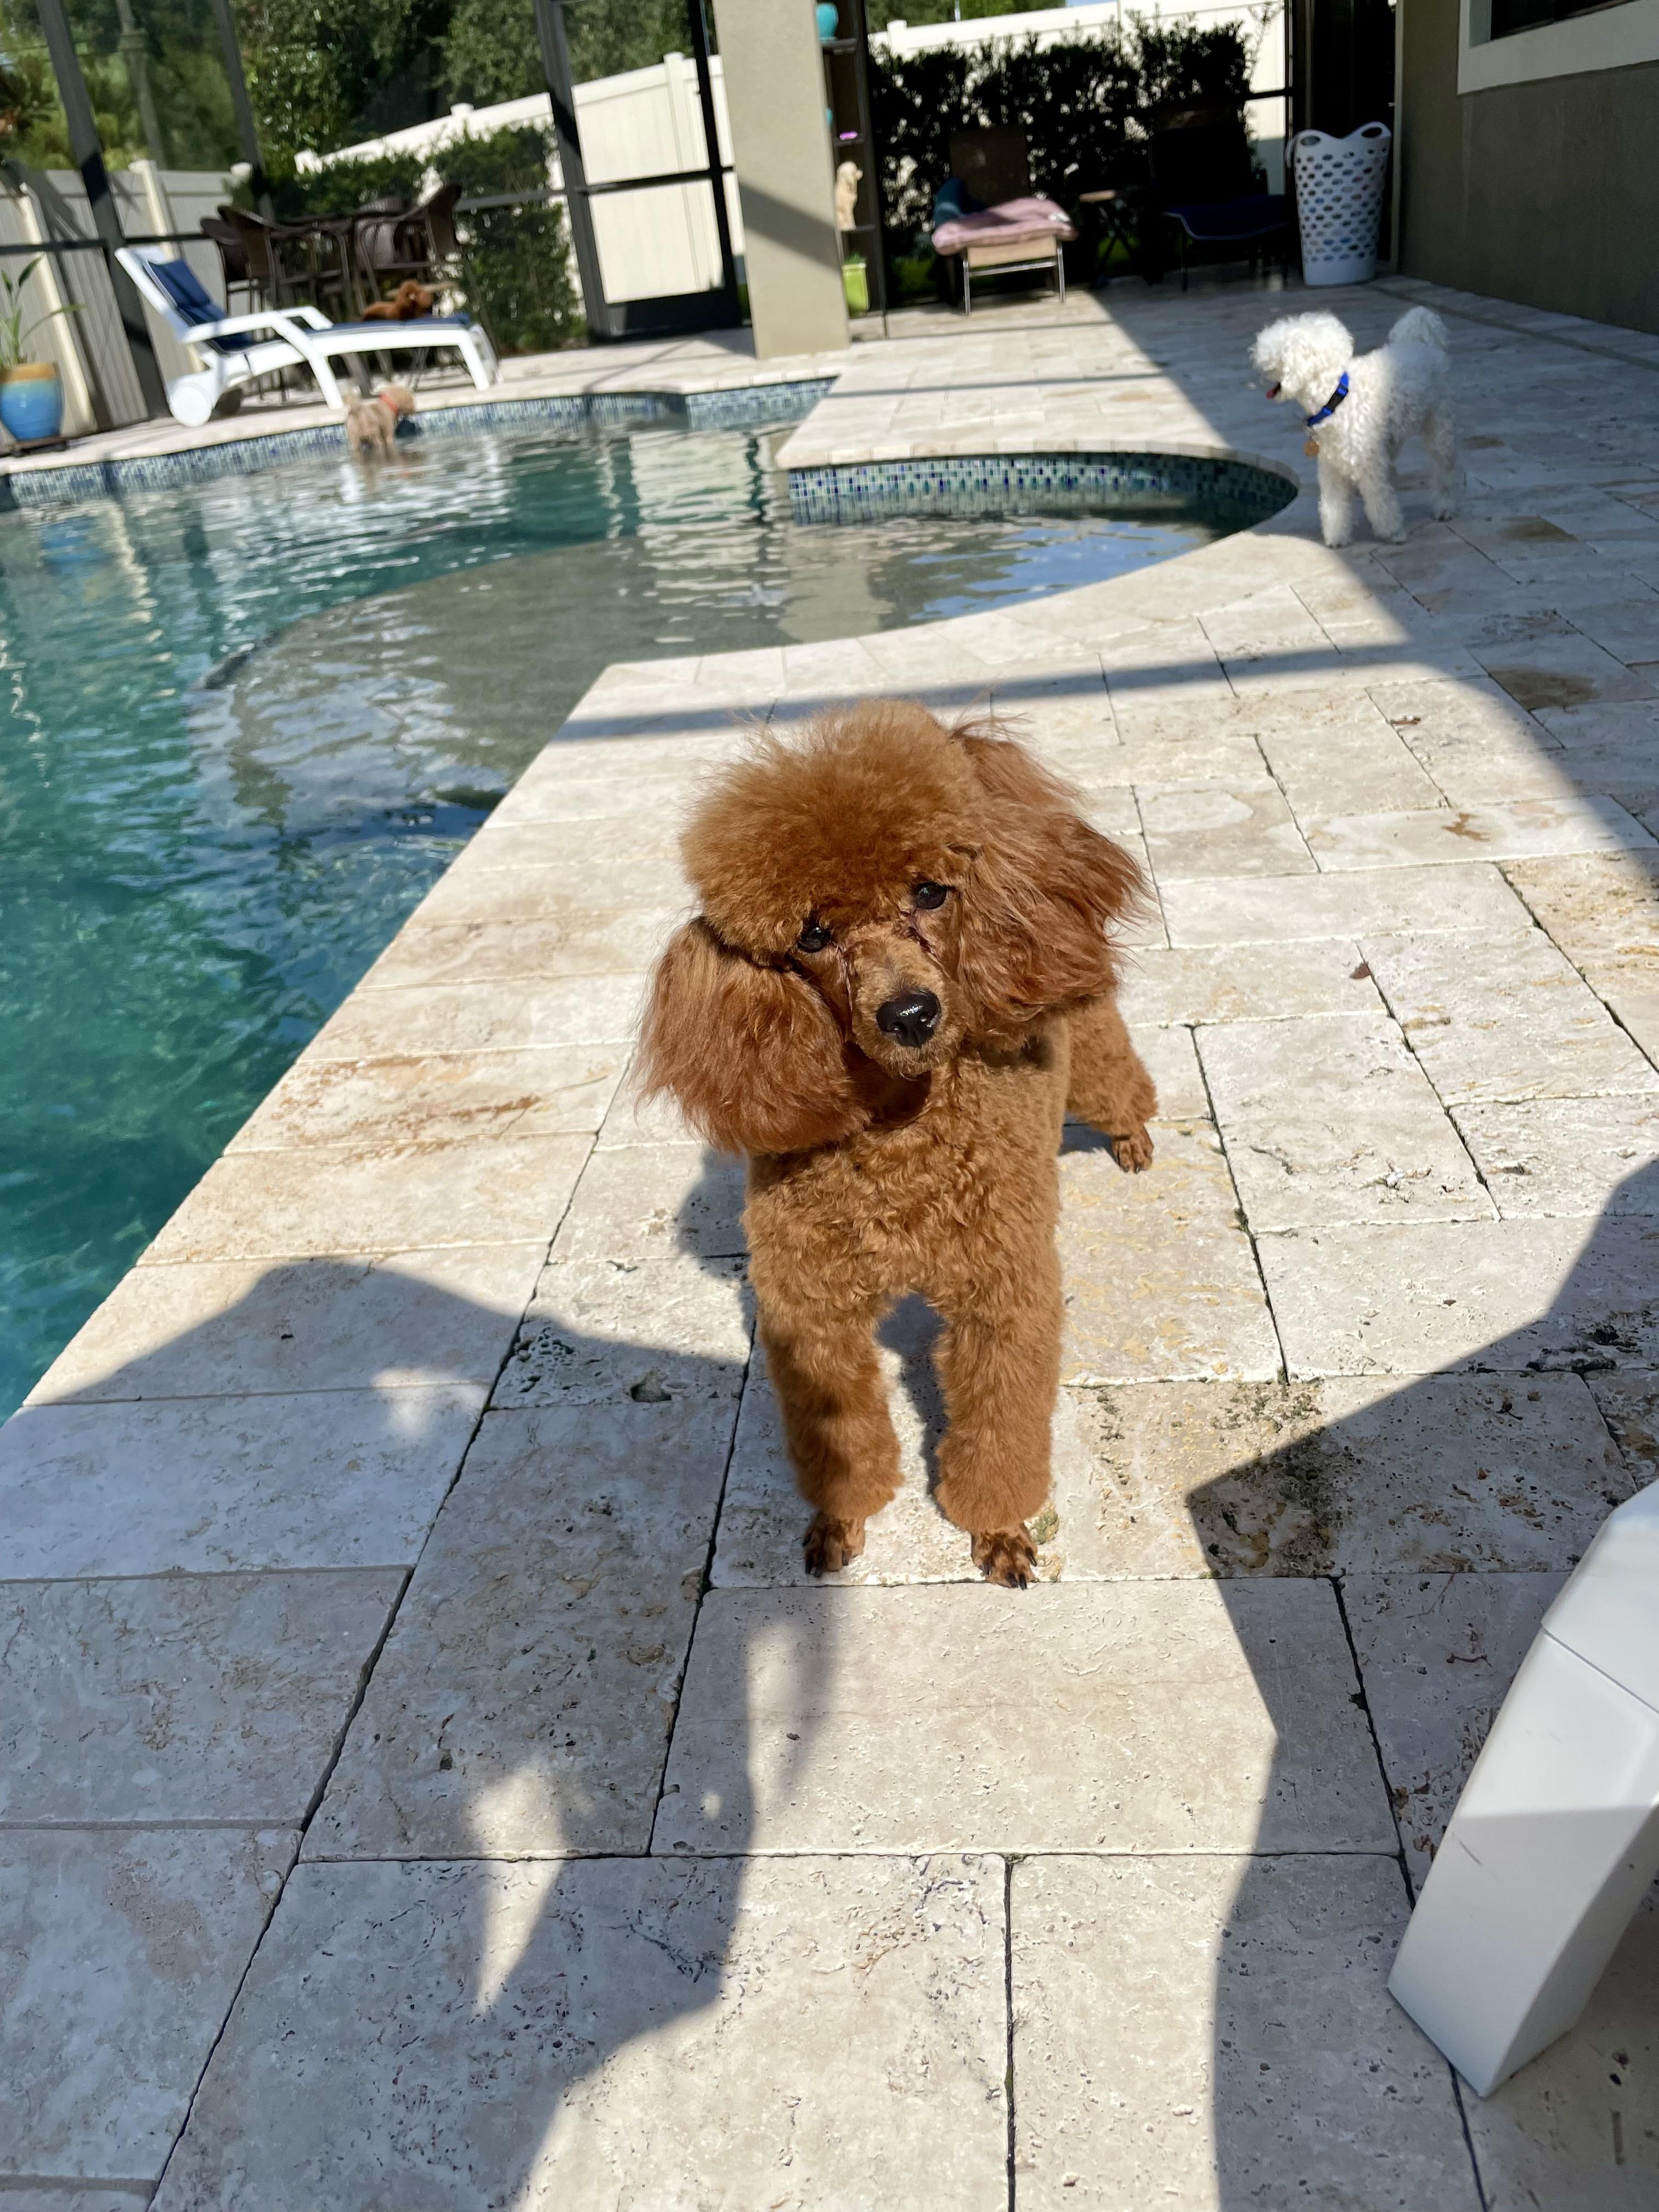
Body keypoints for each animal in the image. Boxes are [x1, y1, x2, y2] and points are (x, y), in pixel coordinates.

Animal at [340, 380, 415, 461]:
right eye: (411, 400)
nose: (414, 409)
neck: (388, 404)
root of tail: (356, 411)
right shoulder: (388, 435)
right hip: (374, 434)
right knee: (379, 443)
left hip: (354, 438)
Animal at [639, 702, 1157, 1588]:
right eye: (813, 936)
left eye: (930, 893)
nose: (912, 1015)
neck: (901, 1140)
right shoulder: (810, 1313)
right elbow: (840, 1437)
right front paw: (839, 1523)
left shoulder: (1001, 1297)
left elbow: (999, 1430)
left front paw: (998, 1531)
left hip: (1087, 1047)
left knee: (1120, 1084)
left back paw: (1135, 1140)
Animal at [1251, 305, 1458, 547]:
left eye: (1279, 355)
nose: (1257, 364)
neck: (1335, 399)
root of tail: (1424, 343)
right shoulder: (1330, 467)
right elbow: (1334, 506)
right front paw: (1337, 538)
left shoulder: (1370, 464)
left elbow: (1380, 500)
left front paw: (1393, 532)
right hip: (1391, 439)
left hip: (1440, 425)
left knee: (1445, 469)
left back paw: (1445, 507)